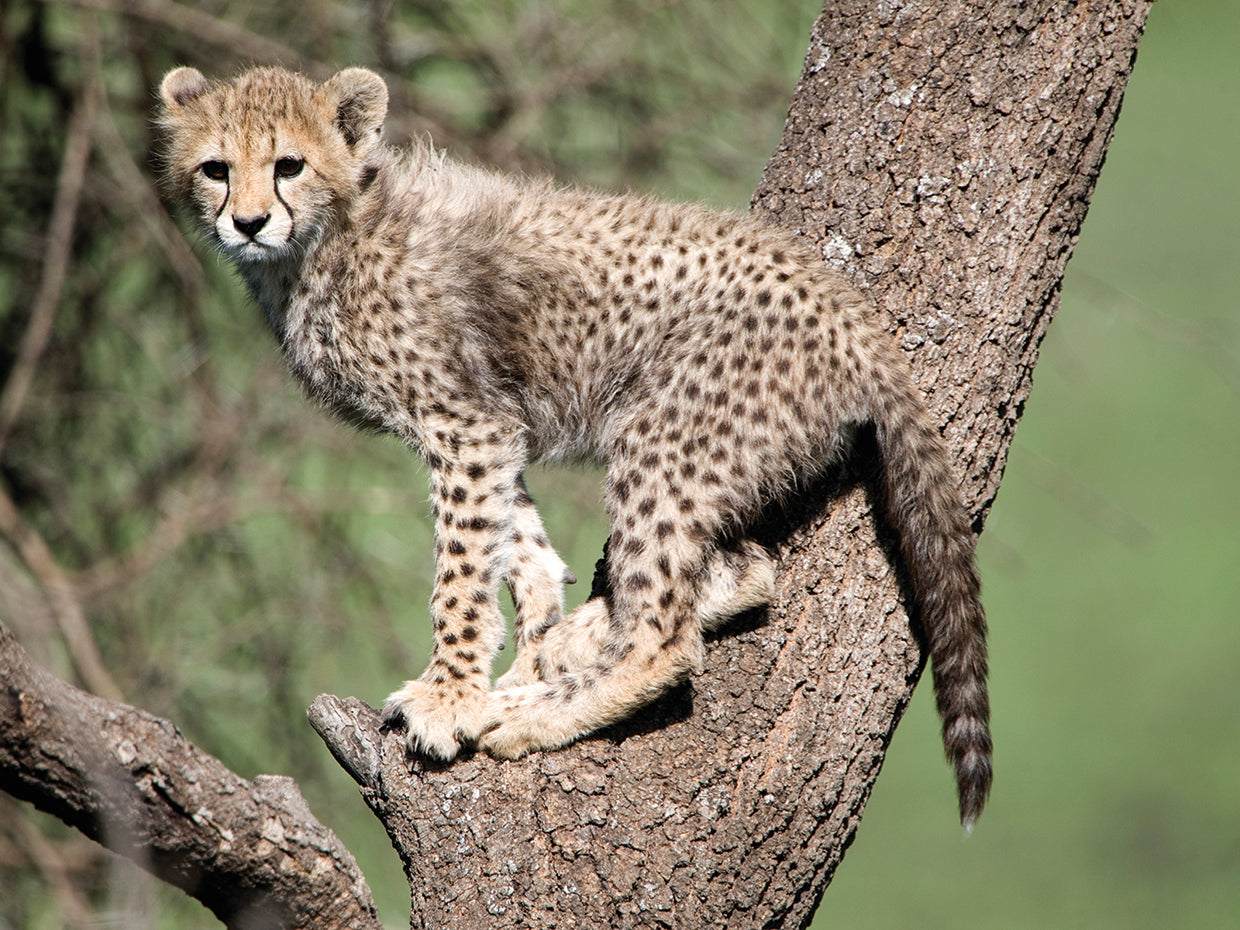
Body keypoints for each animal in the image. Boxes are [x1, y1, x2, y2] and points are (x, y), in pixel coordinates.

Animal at [158, 65, 993, 826]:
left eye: (289, 165)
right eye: (216, 169)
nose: (249, 223)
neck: (324, 242)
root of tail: (852, 312)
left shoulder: (465, 421)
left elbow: (462, 568)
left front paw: (452, 696)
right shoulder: (494, 425)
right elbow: (519, 545)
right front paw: (527, 645)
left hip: (663, 435)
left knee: (669, 634)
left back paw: (537, 710)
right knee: (746, 568)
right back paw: (575, 642)